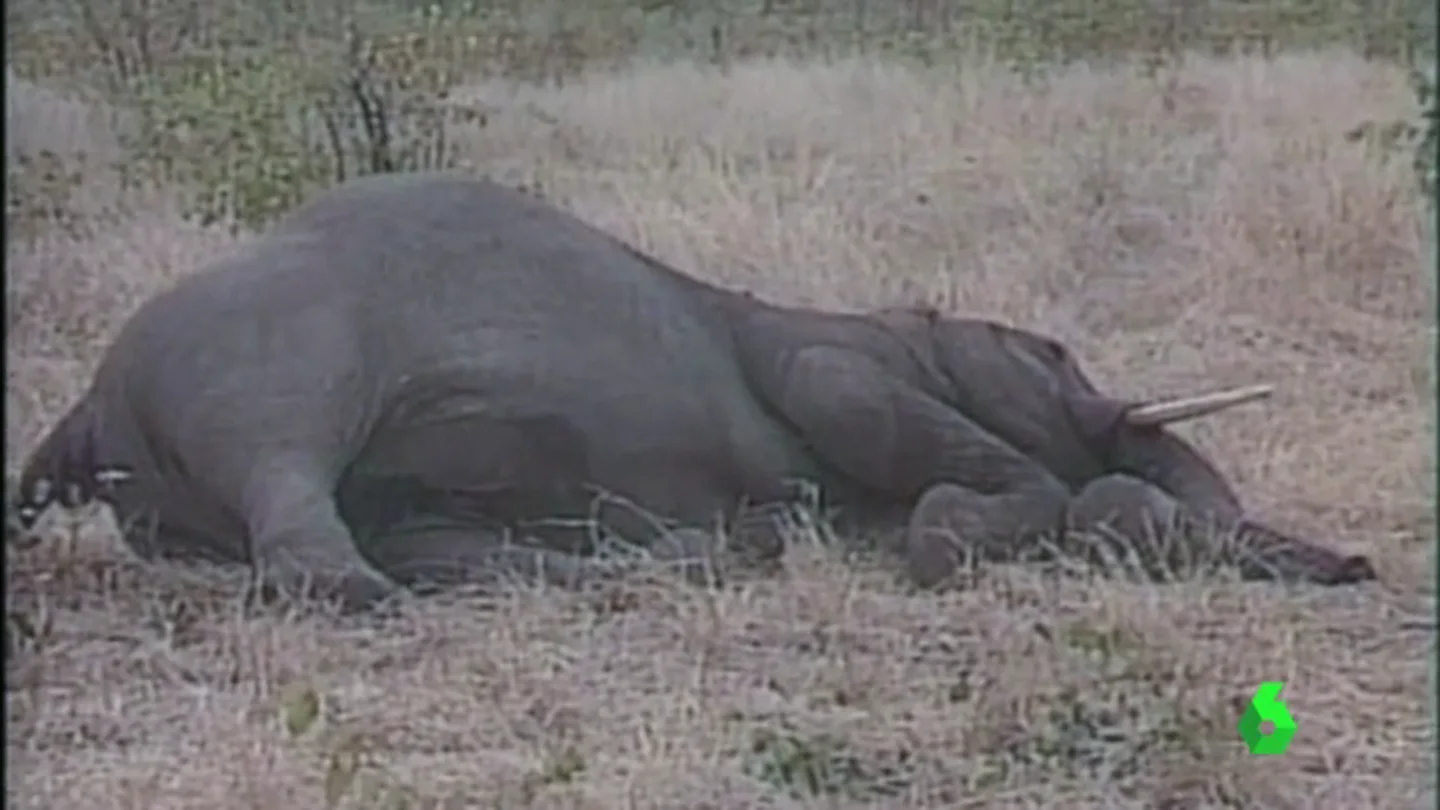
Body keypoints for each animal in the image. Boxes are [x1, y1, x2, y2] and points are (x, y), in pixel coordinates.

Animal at [8, 172, 1376, 612]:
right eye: (1052, 353)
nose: (1359, 567)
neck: (902, 319)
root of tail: (83, 415)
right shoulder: (833, 360)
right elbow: (880, 421)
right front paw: (950, 541)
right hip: (263, 351)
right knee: (291, 476)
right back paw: (359, 596)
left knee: (440, 539)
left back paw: (711, 557)